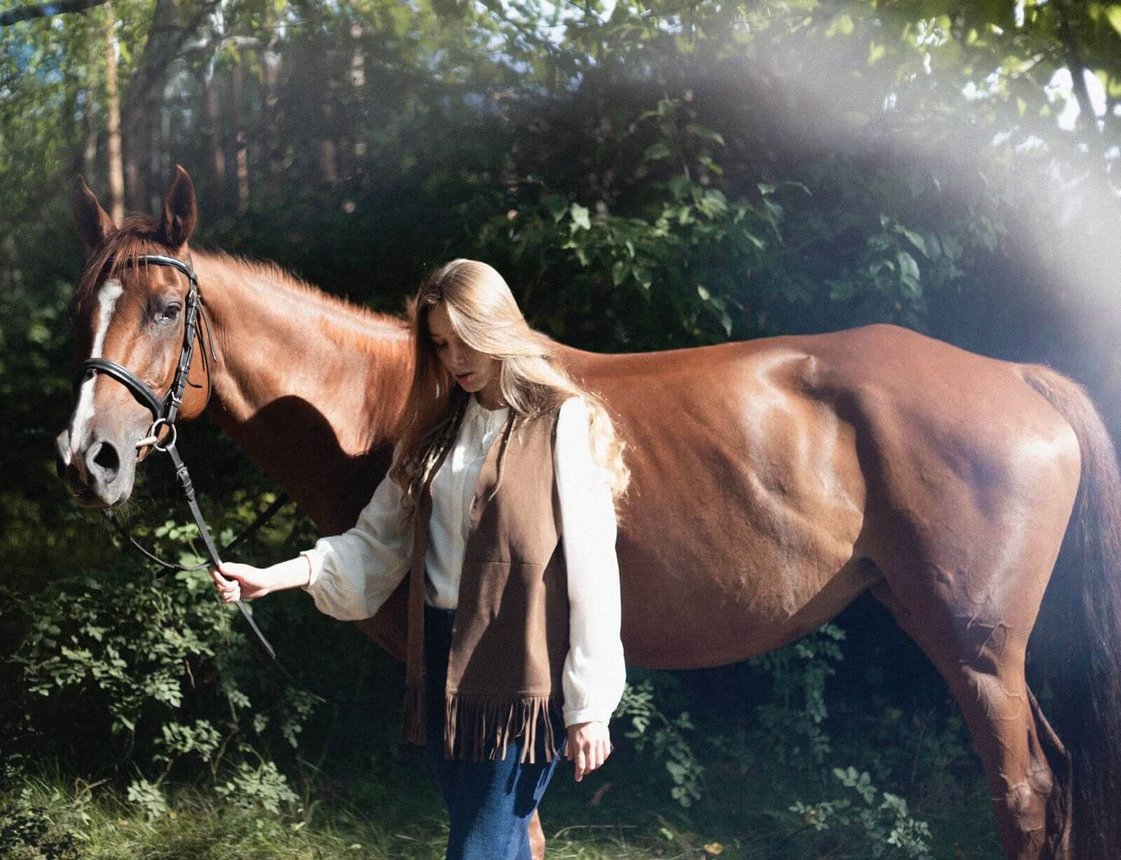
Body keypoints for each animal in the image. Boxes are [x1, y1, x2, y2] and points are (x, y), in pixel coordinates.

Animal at [59, 164, 1121, 856]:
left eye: (166, 309)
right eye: (82, 310)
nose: (87, 459)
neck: (393, 403)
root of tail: (1020, 376)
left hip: (975, 648)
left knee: (1026, 793)